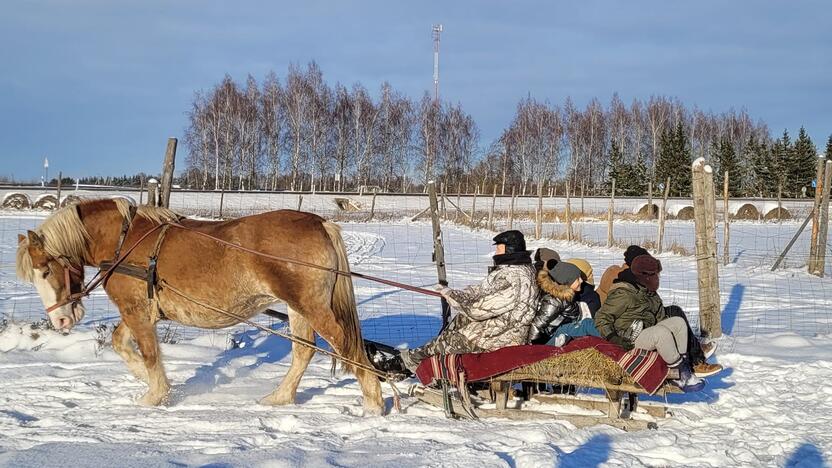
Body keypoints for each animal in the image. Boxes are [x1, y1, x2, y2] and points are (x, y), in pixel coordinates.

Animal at [13, 197, 384, 414]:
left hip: (311, 306)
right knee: (303, 351)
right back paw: (279, 397)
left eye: (45, 269)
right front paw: (147, 380)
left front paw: (155, 396)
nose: (60, 321)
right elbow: (121, 344)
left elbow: (149, 354)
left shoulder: (135, 311)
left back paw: (373, 403)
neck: (123, 240)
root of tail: (320, 222)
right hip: (296, 307)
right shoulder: (140, 311)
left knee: (348, 348)